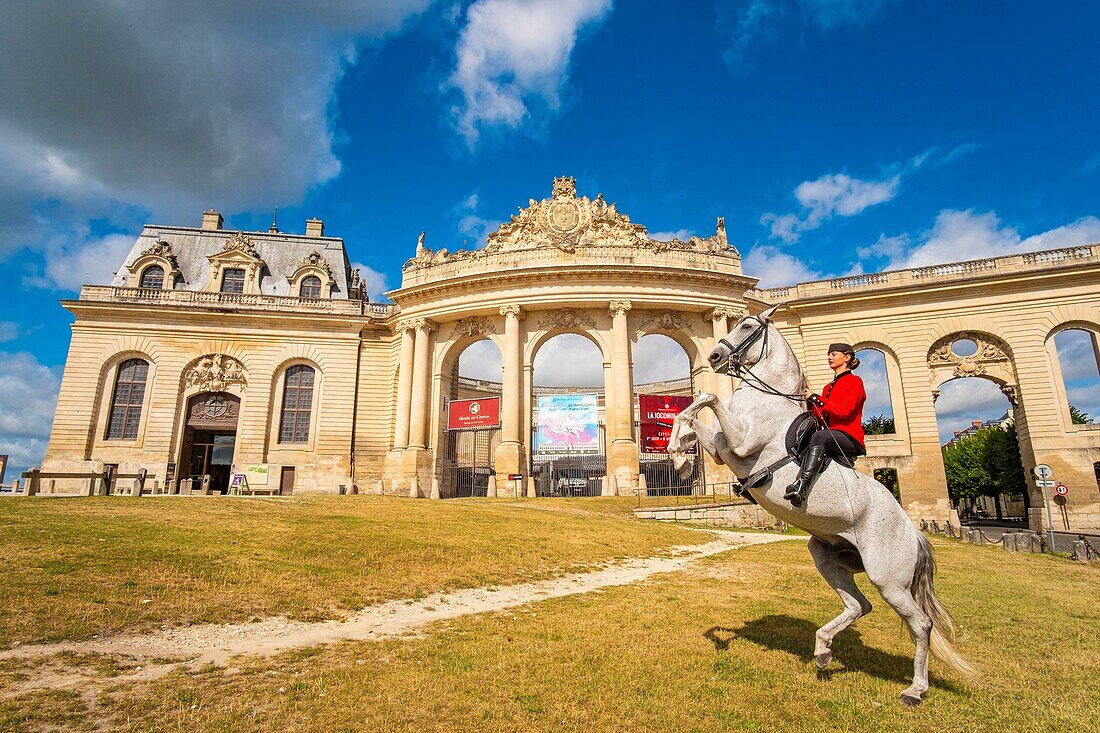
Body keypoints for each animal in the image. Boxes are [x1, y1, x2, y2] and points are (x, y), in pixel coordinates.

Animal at [664, 301, 976, 704]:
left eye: (747, 326)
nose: (715, 356)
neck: (767, 398)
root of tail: (914, 532)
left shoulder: (741, 444)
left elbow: (707, 397)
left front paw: (680, 453)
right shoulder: (722, 449)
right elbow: (689, 415)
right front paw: (680, 458)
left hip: (887, 577)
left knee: (920, 624)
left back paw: (914, 689)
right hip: (827, 556)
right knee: (860, 605)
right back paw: (823, 650)